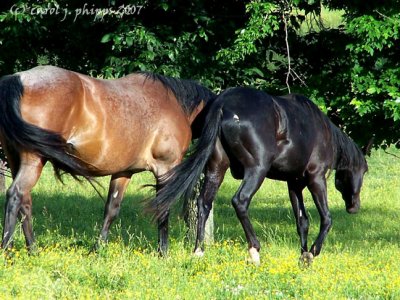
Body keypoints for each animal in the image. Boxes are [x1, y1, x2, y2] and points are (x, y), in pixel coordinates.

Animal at [0, 65, 216, 253]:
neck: (174, 104)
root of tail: (17, 79)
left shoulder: (124, 172)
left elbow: (111, 209)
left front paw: (97, 249)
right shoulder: (165, 169)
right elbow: (163, 208)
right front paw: (163, 251)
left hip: (16, 161)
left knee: (25, 202)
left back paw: (33, 250)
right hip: (33, 160)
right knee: (15, 194)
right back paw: (7, 250)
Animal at [150, 86, 372, 264]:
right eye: (363, 171)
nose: (354, 207)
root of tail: (223, 104)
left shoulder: (294, 184)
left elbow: (302, 221)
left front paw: (303, 256)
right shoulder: (316, 178)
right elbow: (326, 218)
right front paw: (312, 252)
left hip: (216, 168)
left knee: (204, 203)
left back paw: (199, 250)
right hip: (257, 170)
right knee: (240, 201)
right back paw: (254, 249)